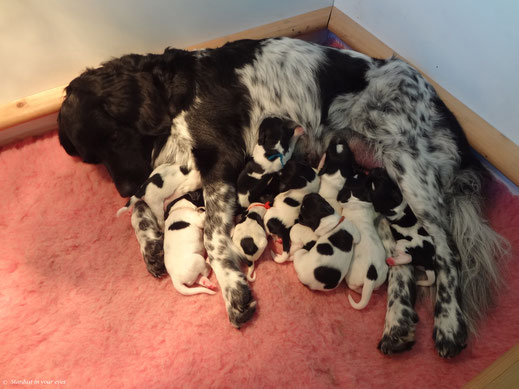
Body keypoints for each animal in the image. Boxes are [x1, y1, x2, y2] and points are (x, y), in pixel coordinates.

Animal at [340, 172, 388, 310]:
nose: (363, 171)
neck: (354, 199)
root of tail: (371, 274)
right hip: (382, 273)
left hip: (354, 278)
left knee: (354, 287)